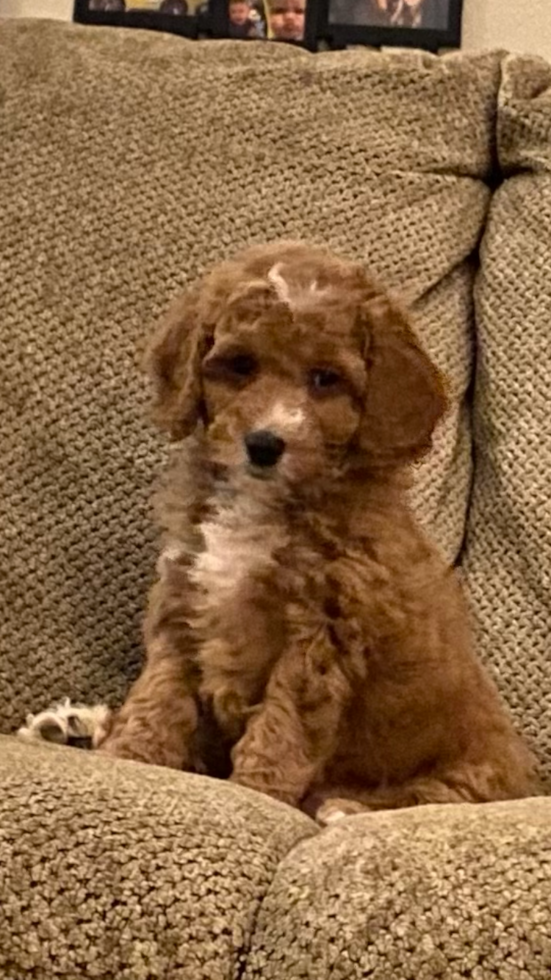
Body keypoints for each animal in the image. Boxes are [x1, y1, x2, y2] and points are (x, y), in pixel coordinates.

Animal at [22, 243, 540, 820]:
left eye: (325, 379)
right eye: (241, 366)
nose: (265, 444)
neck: (264, 502)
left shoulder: (322, 633)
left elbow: (282, 726)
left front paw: (257, 789)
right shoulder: (185, 601)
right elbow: (160, 694)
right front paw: (129, 756)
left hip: (472, 774)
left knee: (427, 799)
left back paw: (342, 809)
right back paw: (72, 729)